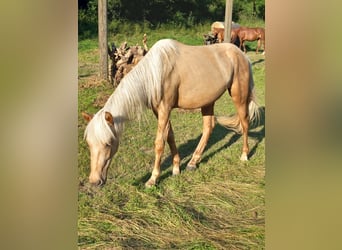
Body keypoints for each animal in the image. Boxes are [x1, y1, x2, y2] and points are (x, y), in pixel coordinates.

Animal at [82, 39, 260, 188]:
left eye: (108, 143)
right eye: (89, 144)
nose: (94, 182)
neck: (155, 72)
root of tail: (241, 54)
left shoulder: (165, 109)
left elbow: (159, 143)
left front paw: (153, 179)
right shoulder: (159, 111)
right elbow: (170, 136)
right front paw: (176, 168)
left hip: (239, 96)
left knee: (245, 123)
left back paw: (244, 155)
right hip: (208, 101)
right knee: (209, 127)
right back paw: (193, 162)